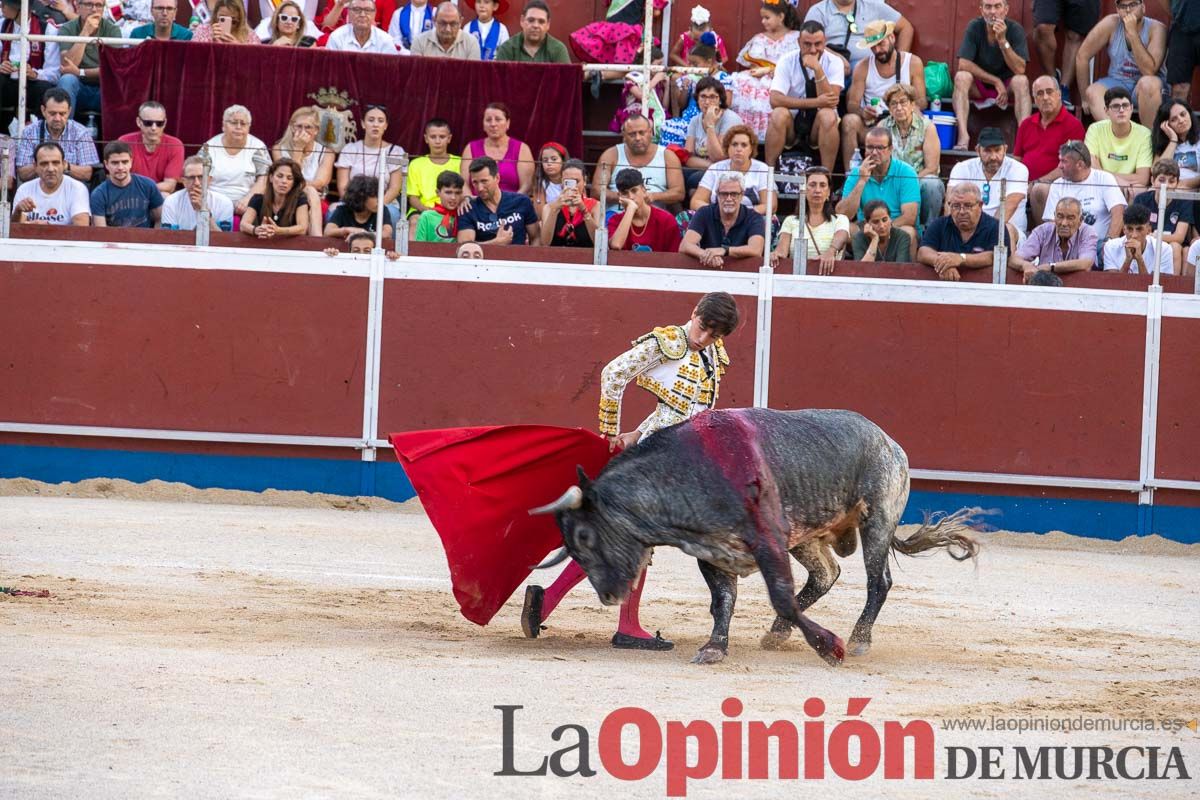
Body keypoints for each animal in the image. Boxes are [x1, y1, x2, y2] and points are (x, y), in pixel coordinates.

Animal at [530, 410, 979, 666]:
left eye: (585, 535)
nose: (608, 595)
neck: (693, 471)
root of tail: (890, 442)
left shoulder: (767, 541)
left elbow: (780, 594)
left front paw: (829, 647)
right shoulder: (712, 552)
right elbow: (723, 600)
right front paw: (715, 647)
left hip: (877, 521)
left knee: (878, 581)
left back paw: (858, 640)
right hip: (807, 535)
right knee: (826, 574)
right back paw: (777, 633)